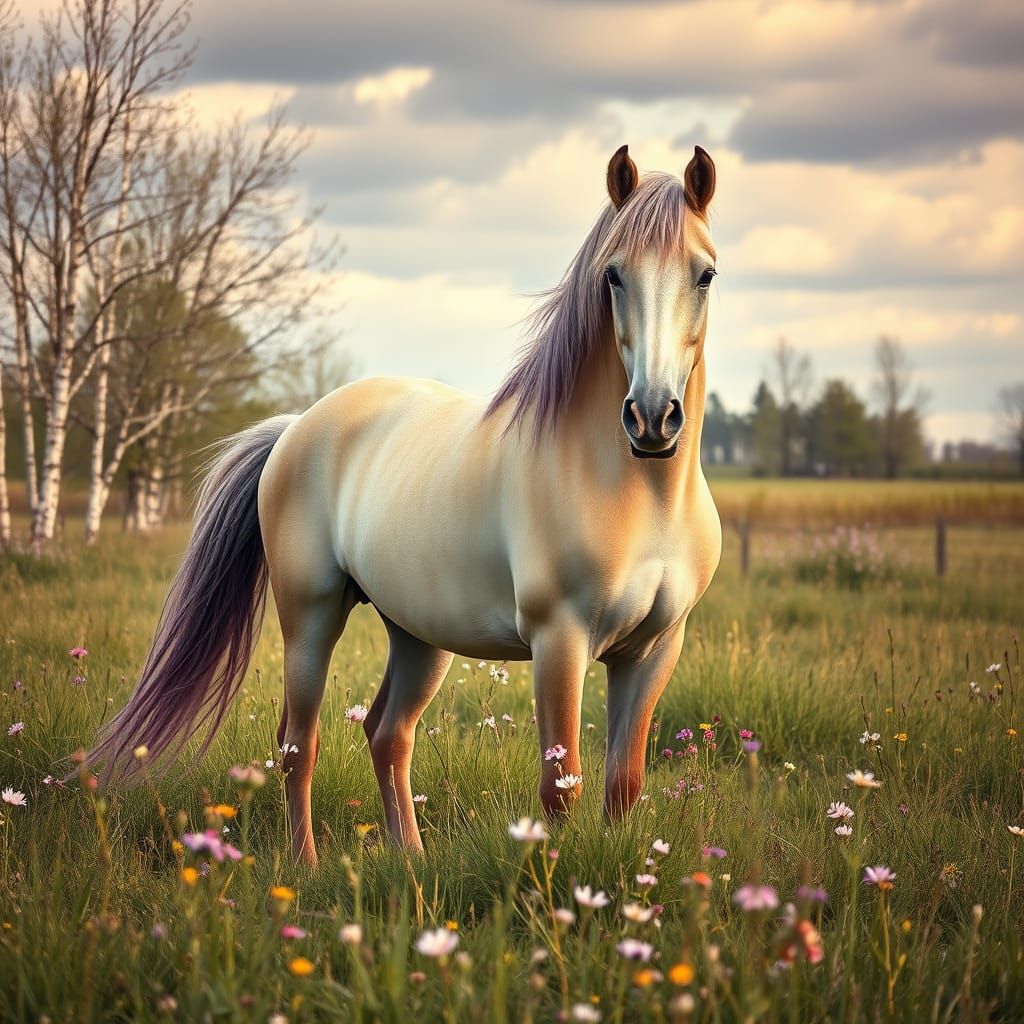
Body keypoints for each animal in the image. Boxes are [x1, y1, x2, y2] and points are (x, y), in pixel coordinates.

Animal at [86, 144, 722, 867]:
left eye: (705, 274)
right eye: (613, 276)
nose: (652, 417)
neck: (638, 497)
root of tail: (296, 427)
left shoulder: (653, 651)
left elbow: (624, 784)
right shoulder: (559, 641)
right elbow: (562, 787)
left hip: (417, 633)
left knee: (387, 734)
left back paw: (409, 859)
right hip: (310, 619)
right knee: (297, 744)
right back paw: (306, 867)